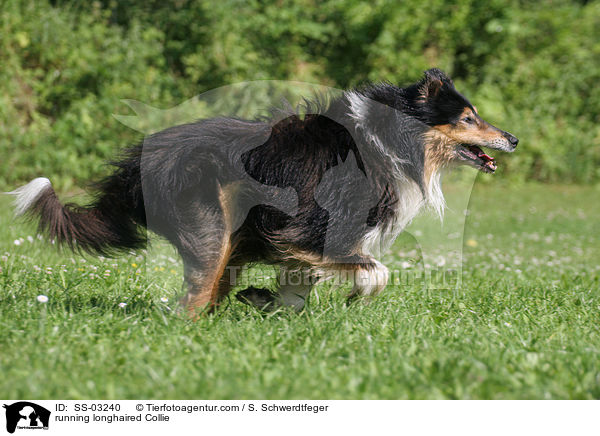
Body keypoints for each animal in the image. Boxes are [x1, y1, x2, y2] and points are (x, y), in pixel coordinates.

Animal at [7, 68, 516, 314]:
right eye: (468, 118)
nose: (512, 139)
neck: (391, 137)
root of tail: (135, 166)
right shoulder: (317, 228)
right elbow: (376, 272)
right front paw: (353, 299)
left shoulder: (297, 238)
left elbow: (300, 284)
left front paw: (270, 303)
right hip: (210, 226)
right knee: (191, 302)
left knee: (209, 291)